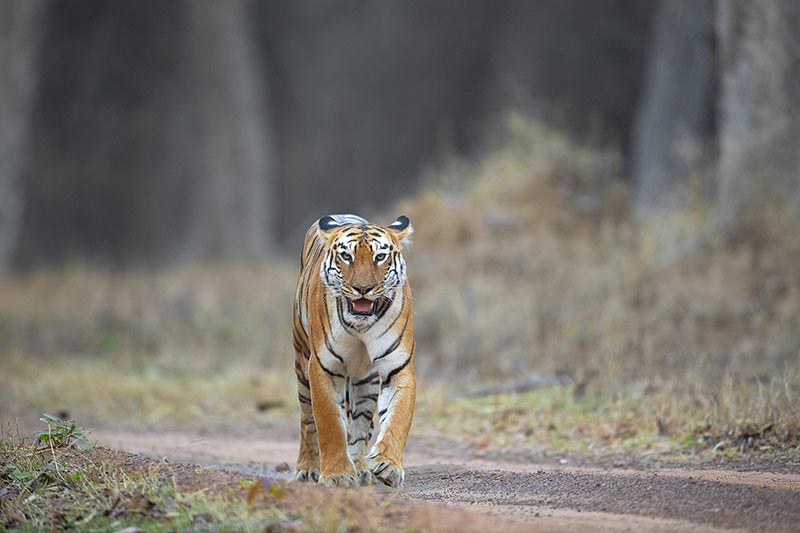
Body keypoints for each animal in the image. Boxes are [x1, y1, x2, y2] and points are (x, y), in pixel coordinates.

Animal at [292, 214, 416, 488]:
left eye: (380, 256)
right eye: (346, 256)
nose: (363, 288)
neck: (361, 325)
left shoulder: (399, 368)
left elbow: (397, 419)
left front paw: (388, 466)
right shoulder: (323, 367)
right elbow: (330, 424)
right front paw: (337, 475)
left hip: (366, 381)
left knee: (359, 426)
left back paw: (361, 468)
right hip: (301, 363)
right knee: (307, 421)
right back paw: (307, 469)